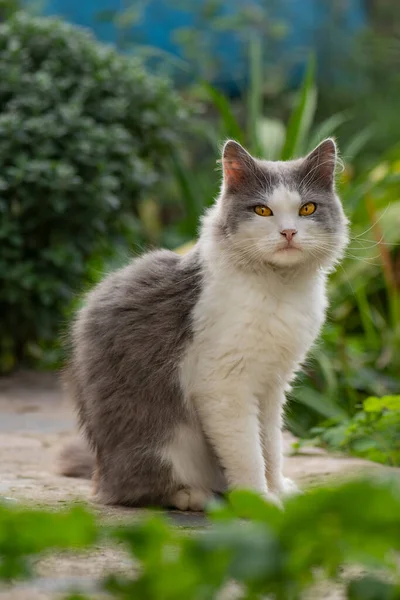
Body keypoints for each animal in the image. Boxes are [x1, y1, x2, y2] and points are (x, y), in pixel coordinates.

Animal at [58, 137, 346, 510]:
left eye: (308, 209)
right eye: (262, 211)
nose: (288, 232)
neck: (279, 289)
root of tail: (100, 472)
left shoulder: (273, 385)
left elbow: (271, 446)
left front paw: (279, 490)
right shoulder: (224, 384)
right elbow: (248, 453)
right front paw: (259, 501)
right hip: (163, 442)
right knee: (136, 491)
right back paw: (195, 496)